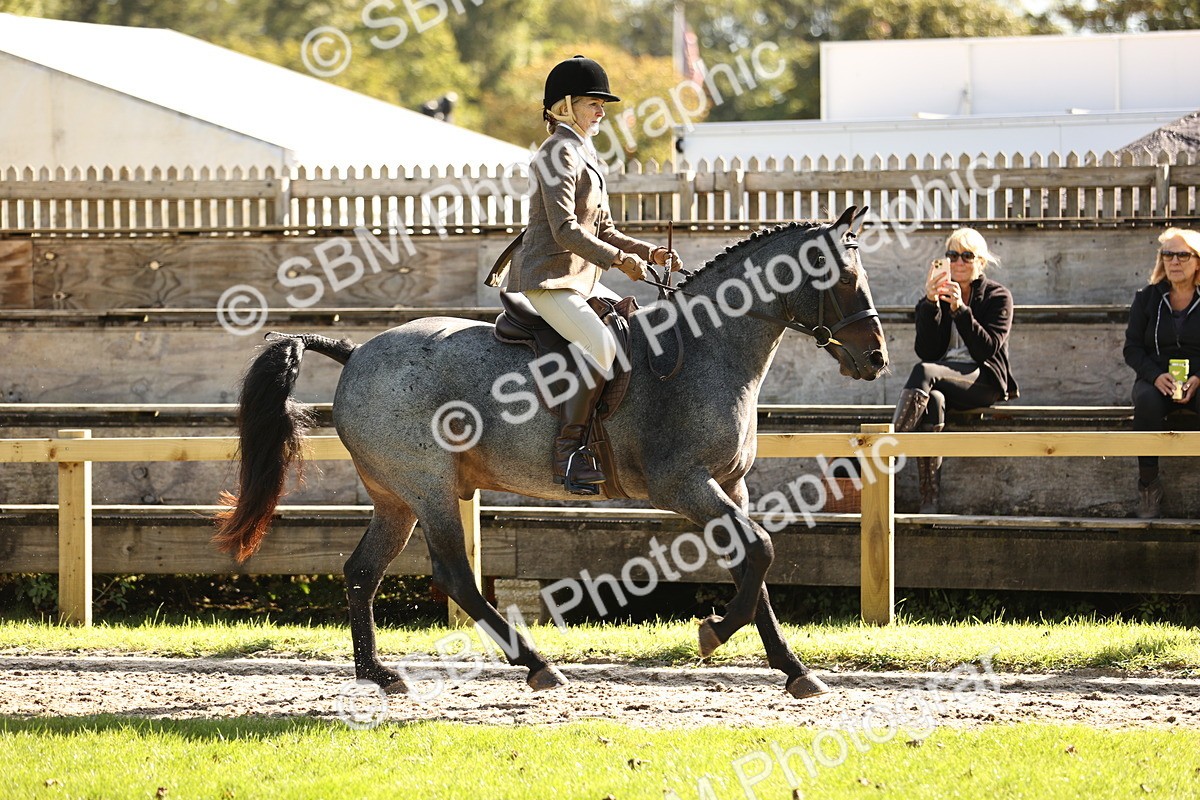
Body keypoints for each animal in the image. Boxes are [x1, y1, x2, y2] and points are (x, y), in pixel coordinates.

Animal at [213, 205, 889, 699]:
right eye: (840, 276)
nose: (877, 358)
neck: (704, 350)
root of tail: (355, 353)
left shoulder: (731, 486)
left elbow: (757, 566)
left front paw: (795, 670)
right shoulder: (684, 486)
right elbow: (762, 552)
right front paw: (714, 632)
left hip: (396, 500)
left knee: (361, 572)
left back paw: (378, 673)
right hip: (431, 490)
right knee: (454, 576)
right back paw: (537, 666)